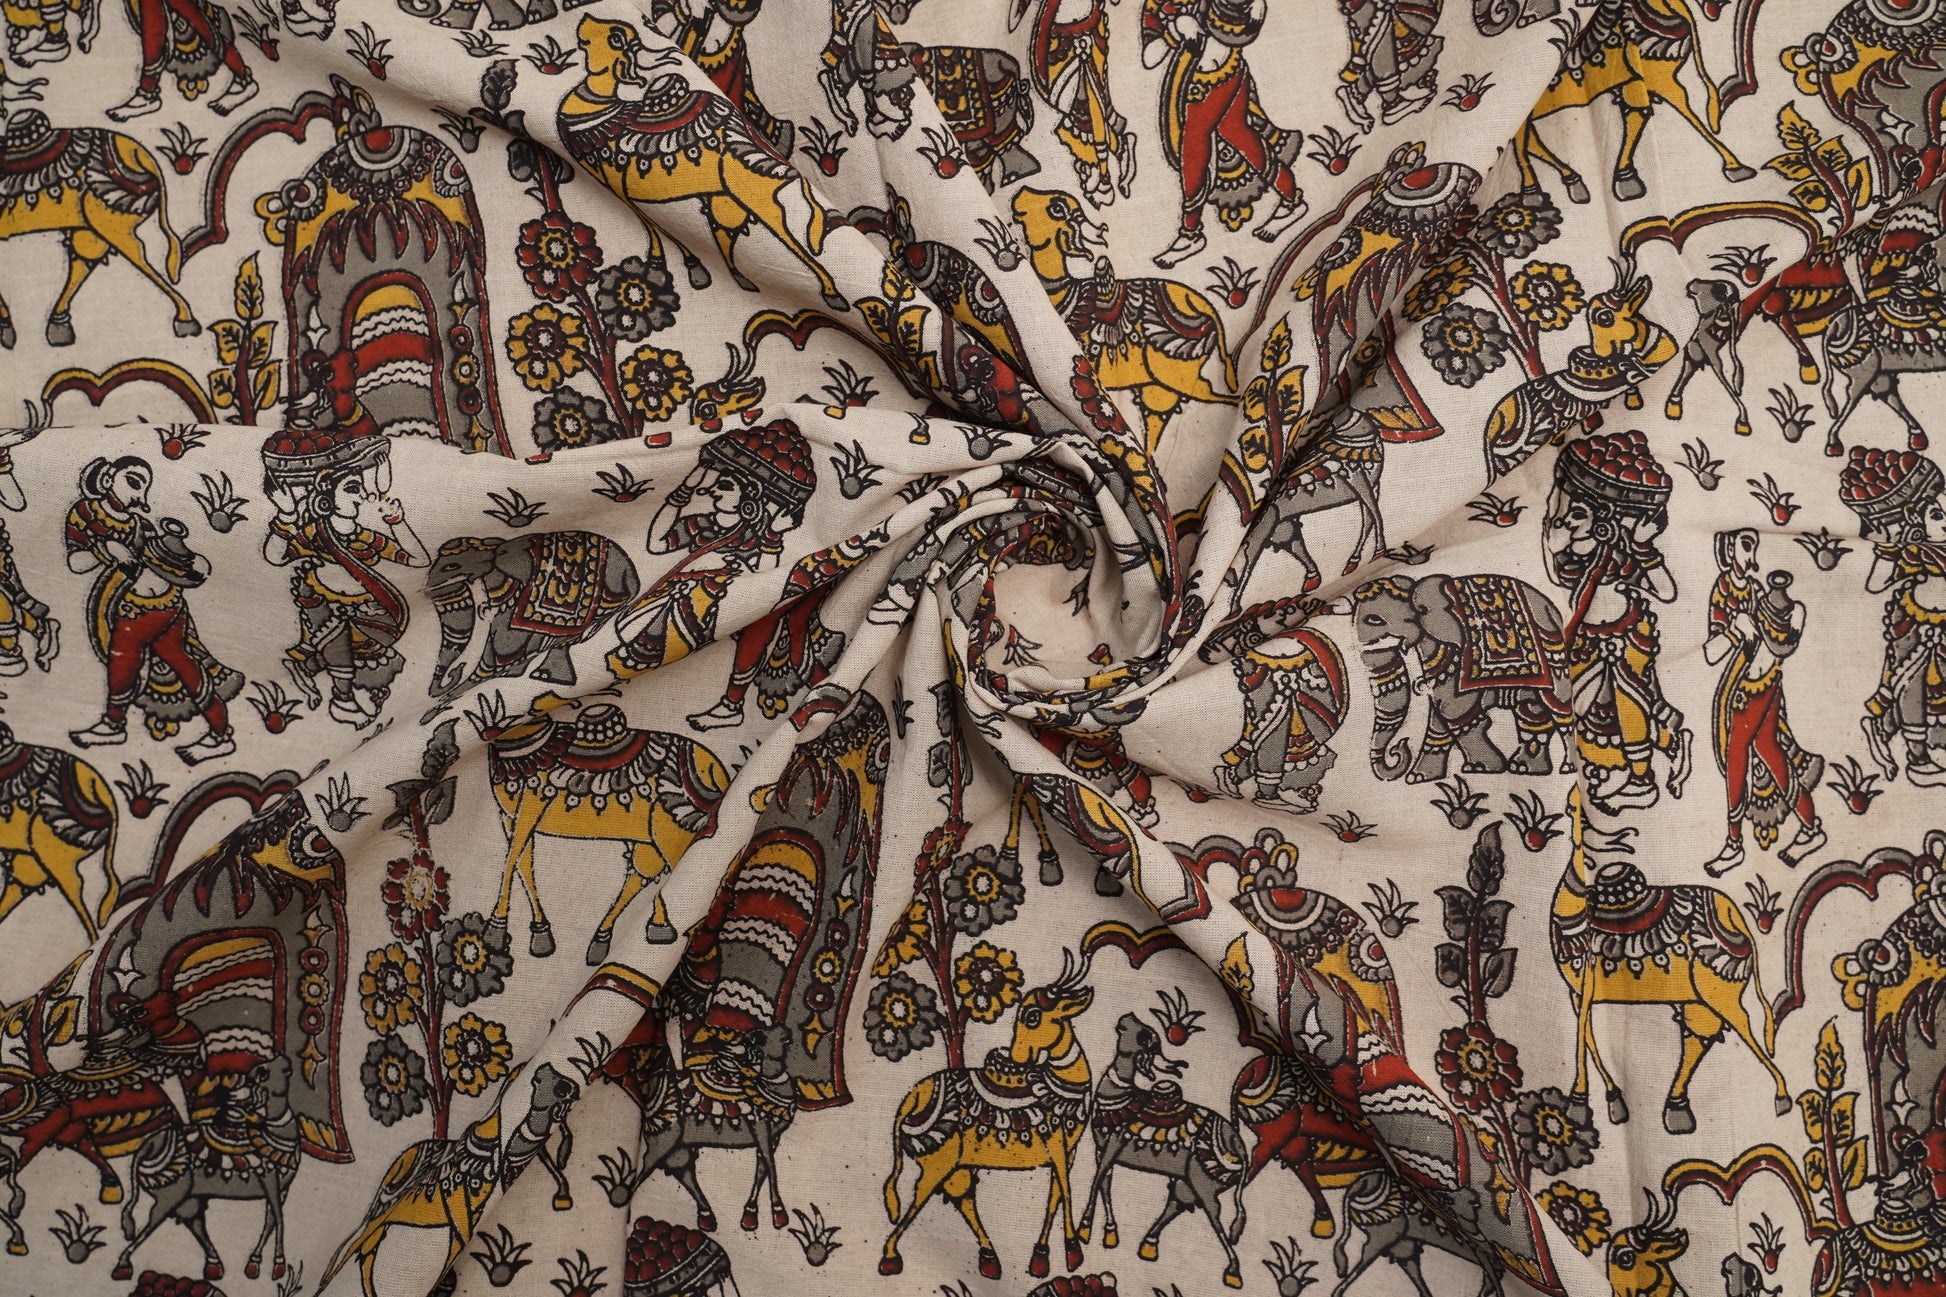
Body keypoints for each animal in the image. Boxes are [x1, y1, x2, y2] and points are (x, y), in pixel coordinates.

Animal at [1342, 573, 1573, 783]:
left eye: (1374, 619)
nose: (1399, 748)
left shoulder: (1459, 655)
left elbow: (1456, 712)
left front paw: (1482, 768)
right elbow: (1439, 719)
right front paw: (1419, 777)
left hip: (1553, 658)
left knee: (1558, 711)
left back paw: (1565, 767)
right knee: (1531, 712)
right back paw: (1525, 768)